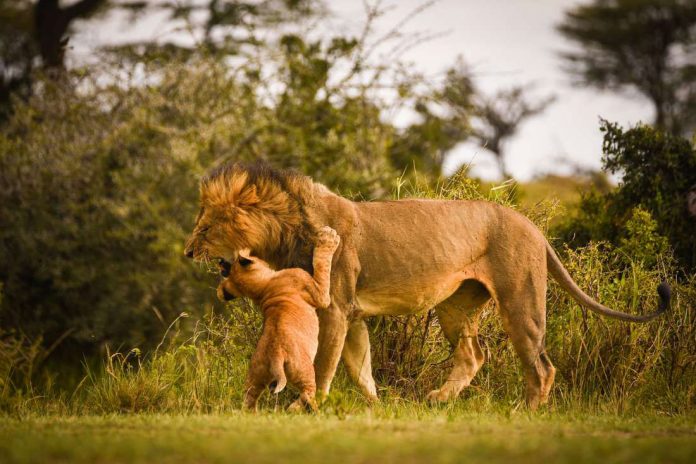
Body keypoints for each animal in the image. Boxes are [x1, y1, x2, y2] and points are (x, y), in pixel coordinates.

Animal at [215, 227, 340, 412]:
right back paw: (307, 410)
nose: (221, 261)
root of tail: (275, 354)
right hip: (304, 370)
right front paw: (328, 237)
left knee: (248, 401)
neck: (262, 288)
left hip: (255, 376)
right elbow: (322, 265)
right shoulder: (318, 292)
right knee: (307, 395)